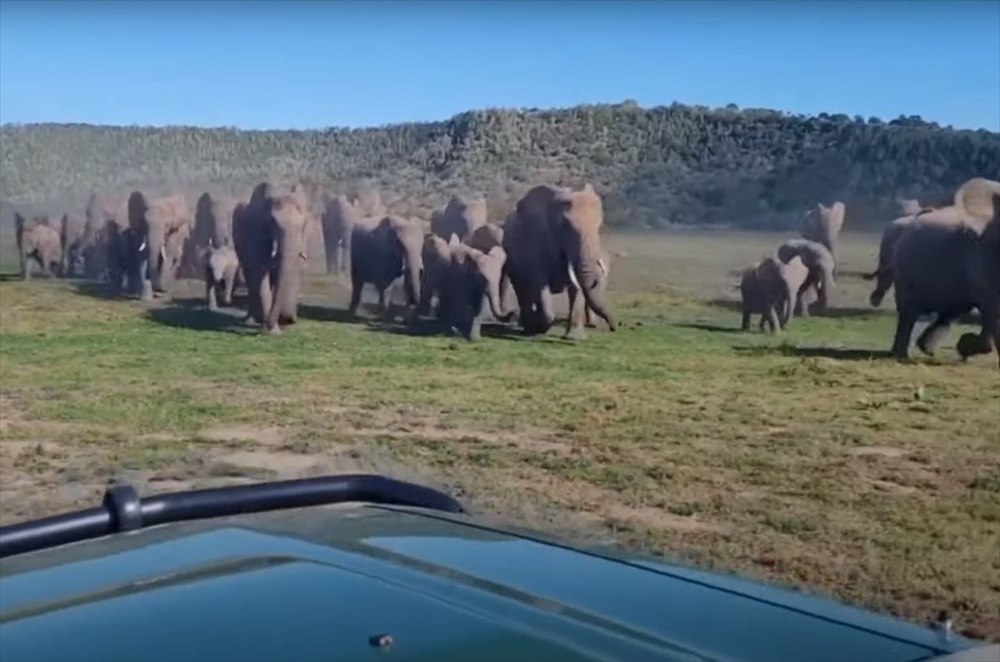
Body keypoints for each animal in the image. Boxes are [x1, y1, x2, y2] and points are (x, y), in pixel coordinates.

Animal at [232, 182, 310, 334]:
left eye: (304, 223)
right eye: (272, 221)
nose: (290, 320)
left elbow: (294, 269)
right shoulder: (257, 230)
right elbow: (260, 272)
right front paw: (273, 331)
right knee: (250, 277)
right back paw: (252, 320)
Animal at [504, 182, 612, 340]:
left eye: (599, 227)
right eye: (566, 228)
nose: (613, 328)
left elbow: (576, 288)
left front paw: (574, 337)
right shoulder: (535, 241)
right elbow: (539, 285)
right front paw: (537, 328)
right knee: (523, 290)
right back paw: (527, 327)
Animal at [892, 188, 1000, 364]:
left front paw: (964, 348)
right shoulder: (983, 259)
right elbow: (992, 309)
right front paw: (964, 348)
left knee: (950, 311)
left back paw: (926, 349)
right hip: (904, 267)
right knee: (908, 312)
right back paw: (901, 355)